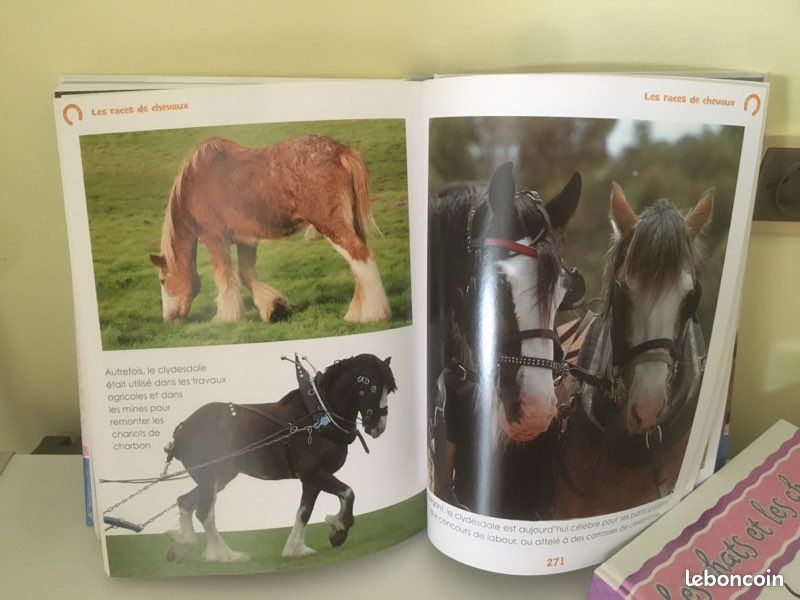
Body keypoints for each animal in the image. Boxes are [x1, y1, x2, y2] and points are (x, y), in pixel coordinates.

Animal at [148, 135, 391, 325]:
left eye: (162, 280)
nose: (169, 319)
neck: (194, 184)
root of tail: (341, 151)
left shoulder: (214, 238)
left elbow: (224, 276)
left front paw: (226, 317)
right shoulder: (246, 239)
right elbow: (245, 274)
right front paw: (275, 308)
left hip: (332, 226)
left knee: (361, 257)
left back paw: (372, 315)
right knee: (359, 267)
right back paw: (358, 313)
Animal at [162, 353, 396, 563]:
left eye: (390, 390)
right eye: (373, 388)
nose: (378, 427)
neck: (318, 416)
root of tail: (182, 429)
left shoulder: (313, 479)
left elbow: (304, 512)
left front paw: (296, 548)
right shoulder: (314, 473)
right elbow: (349, 493)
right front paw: (338, 530)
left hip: (218, 478)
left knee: (185, 502)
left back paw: (183, 545)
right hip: (212, 477)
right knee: (204, 513)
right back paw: (226, 556)